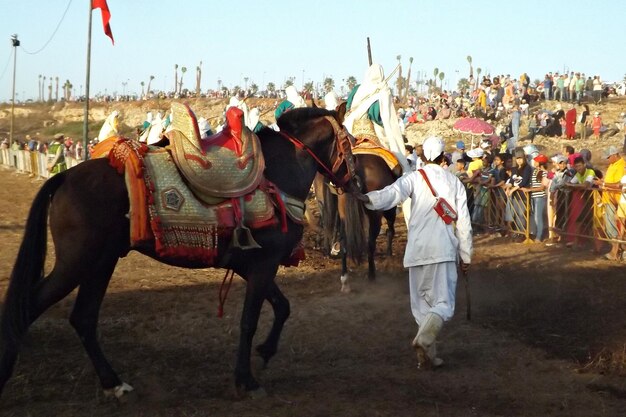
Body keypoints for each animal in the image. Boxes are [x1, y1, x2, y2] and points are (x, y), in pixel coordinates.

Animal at [0, 105, 356, 398]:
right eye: (351, 143)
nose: (355, 184)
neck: (276, 176)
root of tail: (63, 177)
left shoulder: (251, 266)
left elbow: (282, 307)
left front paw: (266, 352)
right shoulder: (263, 265)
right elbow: (250, 321)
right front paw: (246, 380)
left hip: (100, 263)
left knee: (83, 318)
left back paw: (114, 383)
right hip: (75, 263)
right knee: (29, 308)